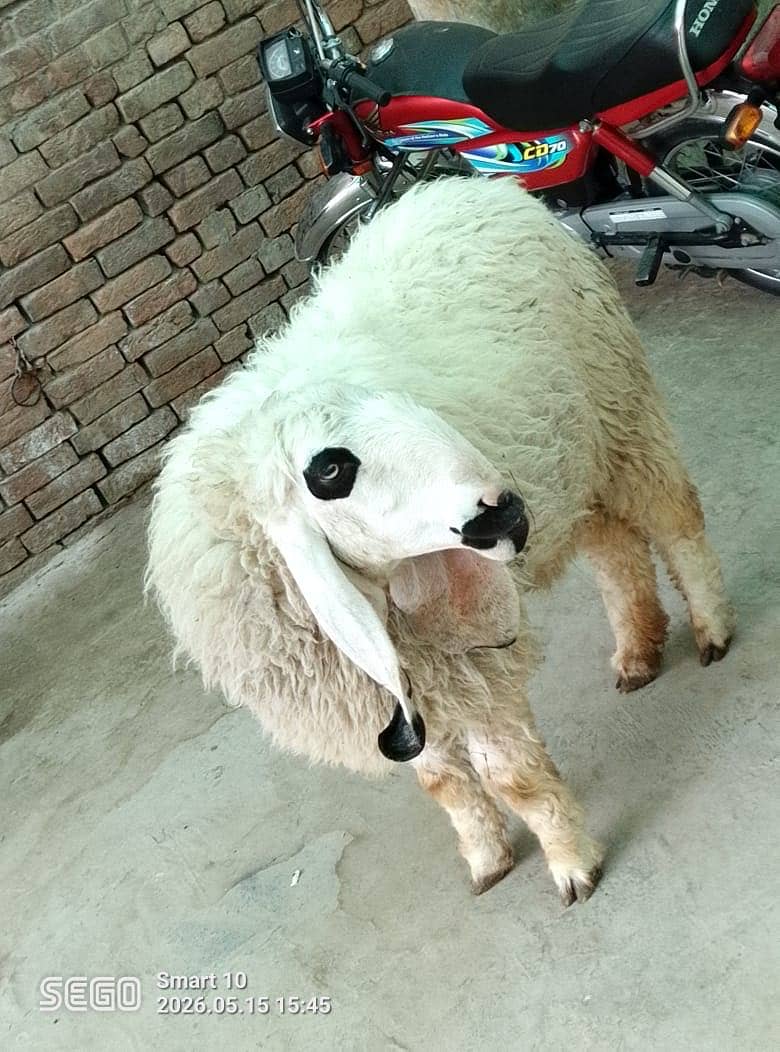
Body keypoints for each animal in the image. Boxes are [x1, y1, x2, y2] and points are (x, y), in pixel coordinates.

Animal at [147, 176, 734, 903]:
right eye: (330, 470)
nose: (505, 511)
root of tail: (469, 188)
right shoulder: (400, 689)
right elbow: (443, 784)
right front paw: (487, 860)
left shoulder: (467, 667)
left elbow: (512, 779)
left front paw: (572, 865)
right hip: (571, 457)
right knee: (612, 548)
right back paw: (636, 652)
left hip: (620, 411)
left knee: (675, 519)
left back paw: (712, 630)